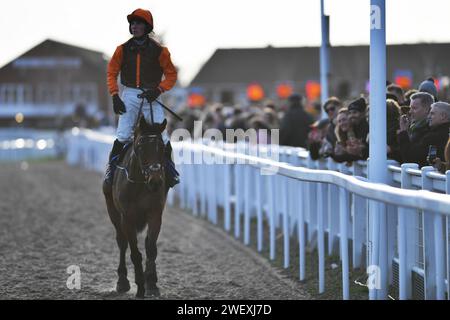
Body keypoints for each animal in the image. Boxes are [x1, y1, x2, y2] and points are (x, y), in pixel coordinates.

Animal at [103, 115, 170, 298]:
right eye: (140, 146)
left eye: (162, 147)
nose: (155, 181)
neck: (140, 183)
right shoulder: (127, 217)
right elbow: (134, 252)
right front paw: (139, 286)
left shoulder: (155, 214)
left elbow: (151, 248)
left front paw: (151, 284)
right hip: (112, 211)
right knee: (121, 241)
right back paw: (122, 281)